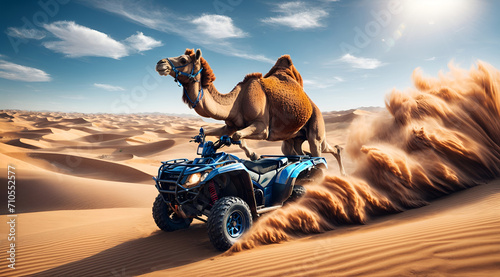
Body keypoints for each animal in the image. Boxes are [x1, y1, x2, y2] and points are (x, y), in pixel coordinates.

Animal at [155, 48, 344, 175]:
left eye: (183, 59)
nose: (160, 63)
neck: (236, 102)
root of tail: (315, 107)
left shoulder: (262, 127)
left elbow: (238, 135)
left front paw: (254, 155)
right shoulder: (229, 125)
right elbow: (215, 132)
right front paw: (200, 138)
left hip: (316, 130)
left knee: (321, 151)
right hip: (292, 139)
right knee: (301, 152)